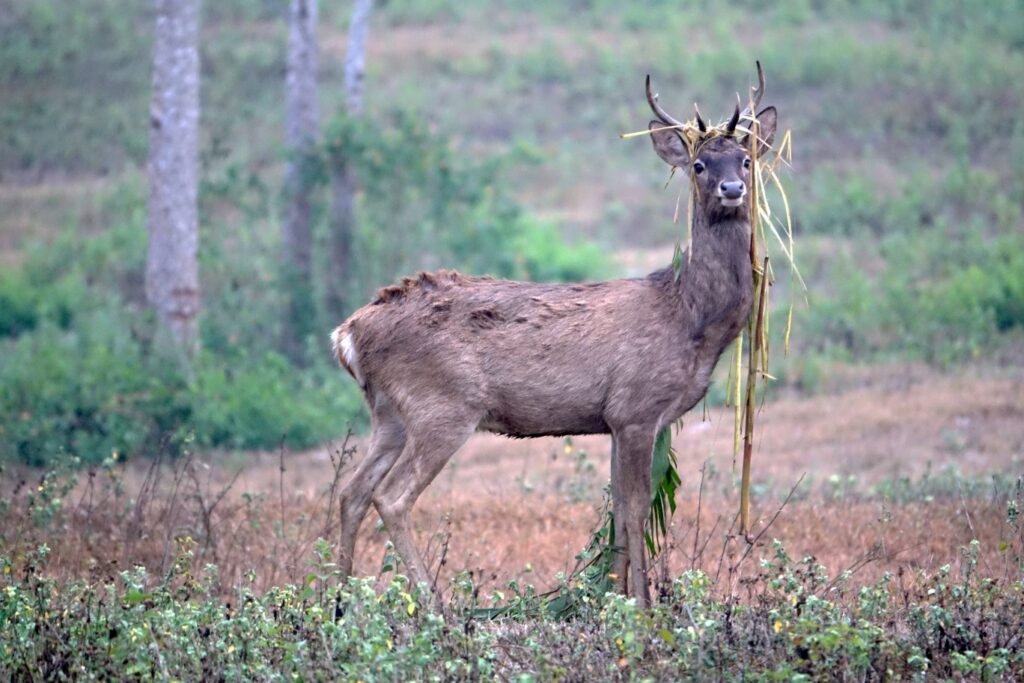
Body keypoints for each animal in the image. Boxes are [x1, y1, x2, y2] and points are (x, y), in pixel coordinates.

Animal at [329, 65, 774, 610]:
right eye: (698, 164)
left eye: (747, 159)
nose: (732, 188)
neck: (690, 318)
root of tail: (347, 334)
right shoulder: (637, 408)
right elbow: (635, 511)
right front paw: (643, 607)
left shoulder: (612, 420)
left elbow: (618, 514)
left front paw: (611, 600)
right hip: (443, 406)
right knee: (390, 497)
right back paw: (434, 607)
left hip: (389, 413)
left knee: (351, 492)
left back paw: (339, 603)